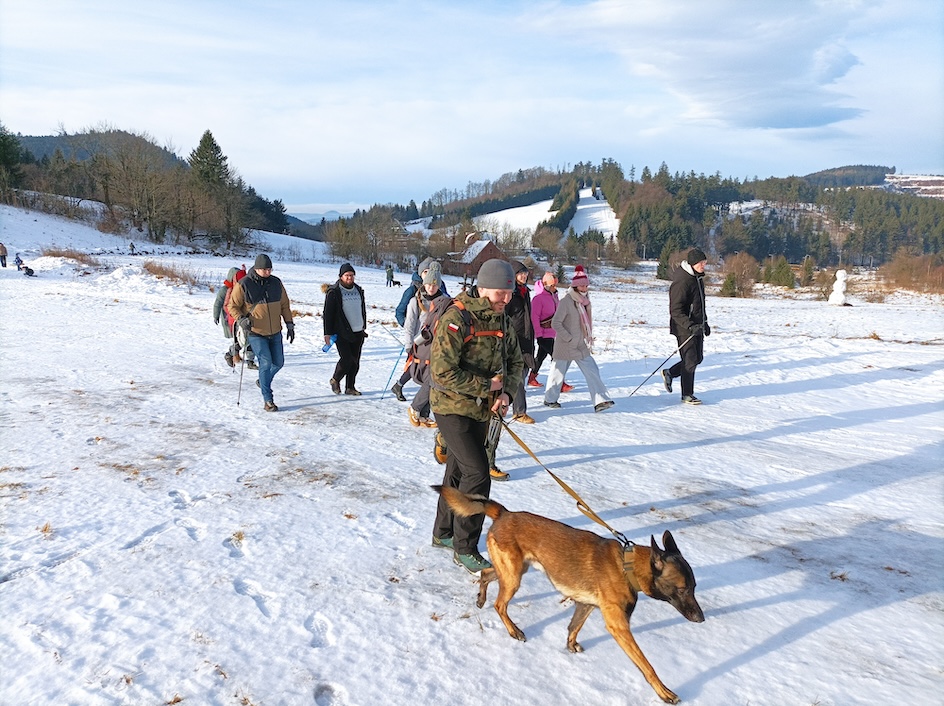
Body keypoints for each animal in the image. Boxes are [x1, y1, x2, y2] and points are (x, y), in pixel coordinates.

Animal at [432, 485, 704, 704]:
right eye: (682, 589)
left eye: (694, 588)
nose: (701, 619)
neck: (627, 566)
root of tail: (505, 513)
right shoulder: (619, 627)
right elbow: (647, 665)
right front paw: (664, 692)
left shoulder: (586, 604)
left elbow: (574, 626)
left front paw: (570, 645)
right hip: (513, 578)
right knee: (500, 604)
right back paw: (513, 630)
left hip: (513, 571)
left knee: (487, 574)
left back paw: (481, 598)